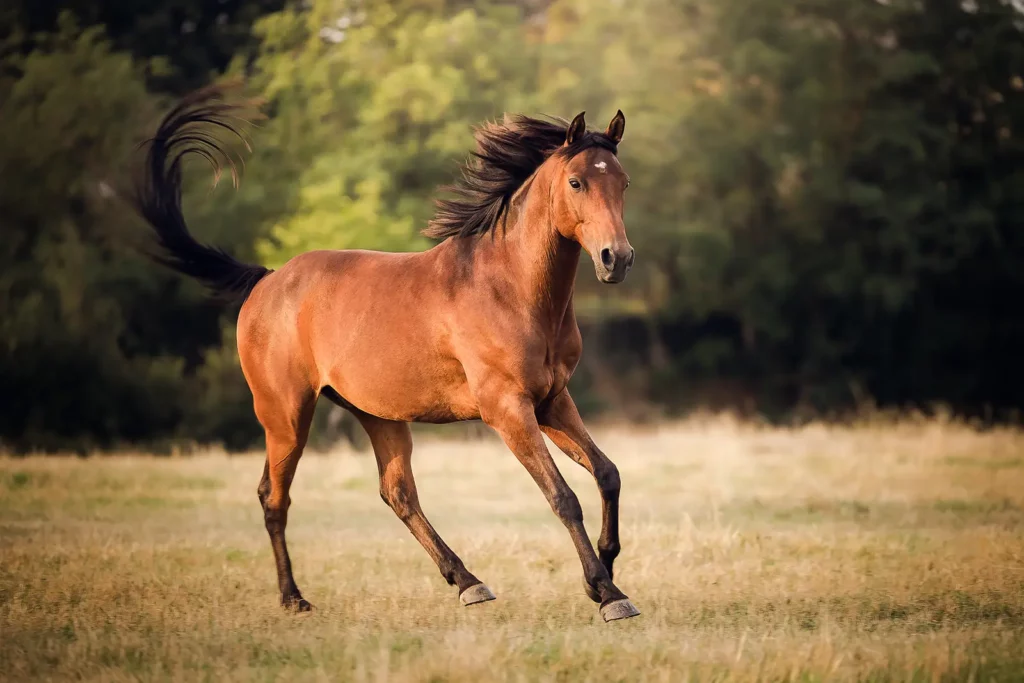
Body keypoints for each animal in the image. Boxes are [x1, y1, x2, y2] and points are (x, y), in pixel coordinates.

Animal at [134, 85, 639, 622]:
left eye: (623, 182)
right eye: (576, 182)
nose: (616, 259)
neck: (508, 286)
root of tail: (266, 281)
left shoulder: (552, 401)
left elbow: (607, 473)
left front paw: (607, 569)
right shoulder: (507, 409)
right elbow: (562, 496)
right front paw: (607, 593)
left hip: (378, 415)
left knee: (398, 494)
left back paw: (468, 582)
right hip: (286, 415)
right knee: (274, 496)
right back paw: (294, 598)